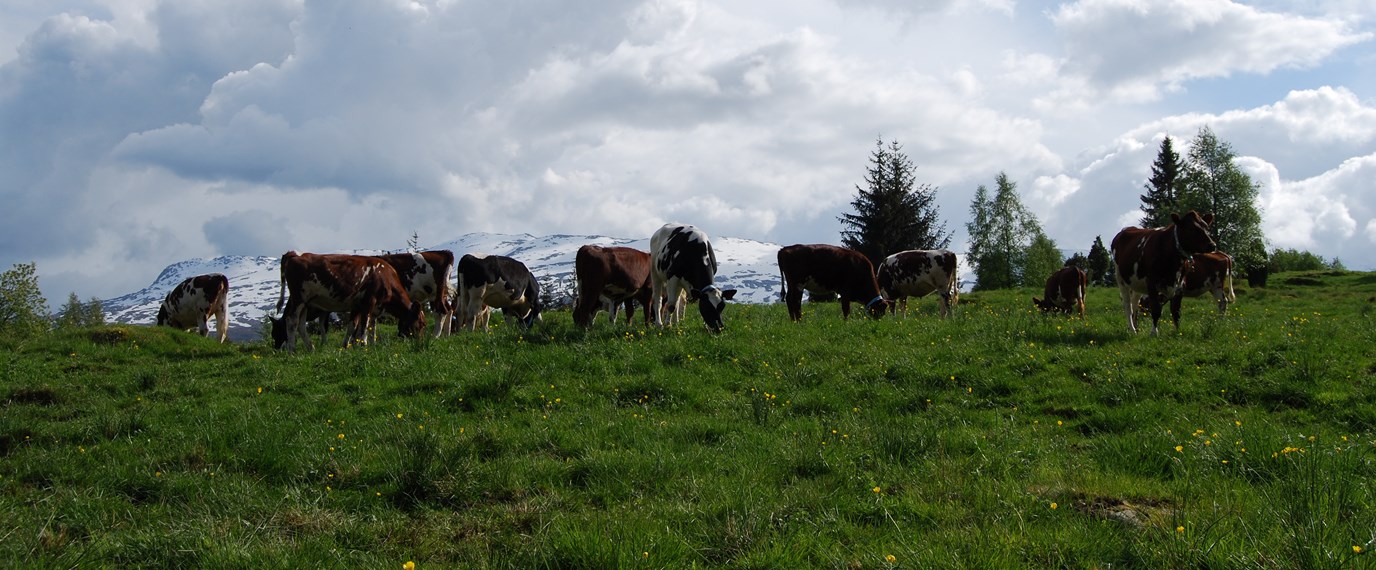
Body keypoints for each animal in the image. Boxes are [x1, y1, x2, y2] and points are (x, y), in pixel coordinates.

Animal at [273, 251, 423, 349]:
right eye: (422, 323)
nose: (420, 342)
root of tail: (296, 255)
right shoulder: (369, 301)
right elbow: (364, 325)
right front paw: (364, 345)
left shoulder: (357, 305)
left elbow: (353, 326)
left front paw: (346, 346)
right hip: (298, 298)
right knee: (291, 321)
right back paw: (292, 350)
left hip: (306, 302)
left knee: (300, 324)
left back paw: (310, 348)